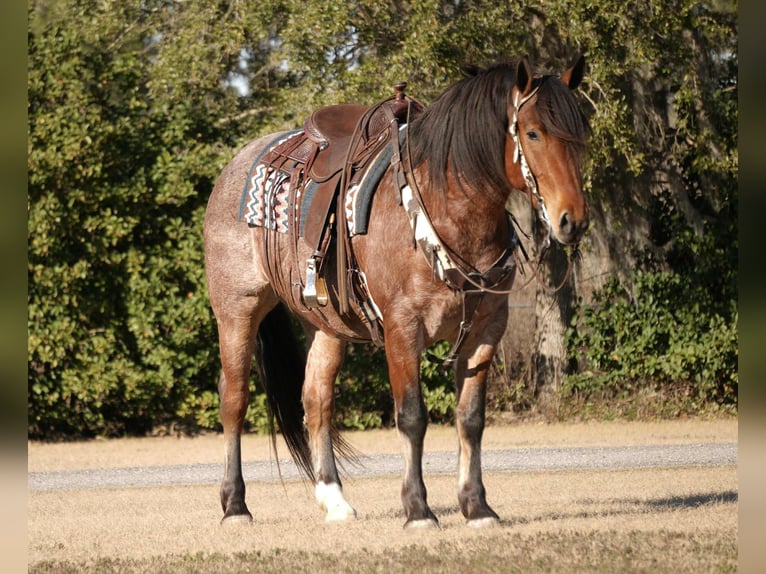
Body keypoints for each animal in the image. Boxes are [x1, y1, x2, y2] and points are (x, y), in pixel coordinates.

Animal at [203, 55, 590, 528]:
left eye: (581, 134)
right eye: (532, 133)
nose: (572, 219)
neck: (446, 212)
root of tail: (238, 162)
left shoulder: (486, 331)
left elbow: (471, 419)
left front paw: (477, 505)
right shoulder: (402, 329)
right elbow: (411, 417)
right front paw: (418, 509)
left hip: (326, 325)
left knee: (316, 400)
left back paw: (334, 499)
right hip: (237, 311)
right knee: (234, 399)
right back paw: (235, 505)